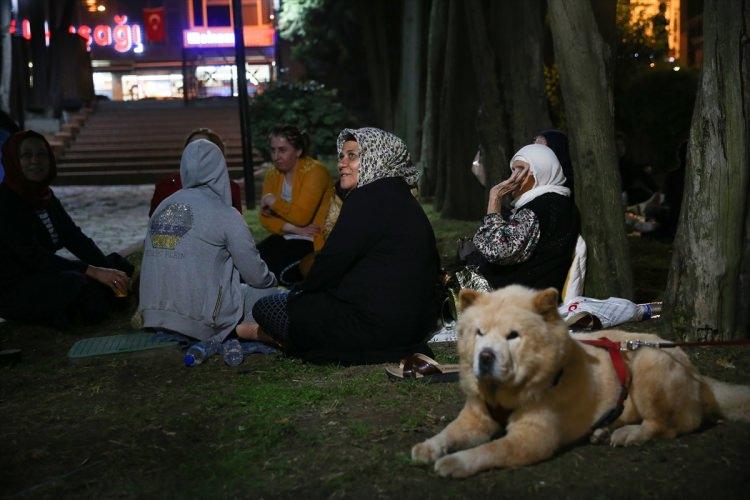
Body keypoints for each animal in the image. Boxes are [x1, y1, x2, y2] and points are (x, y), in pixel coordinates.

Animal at [412, 286, 750, 476]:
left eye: (513, 336)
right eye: (478, 333)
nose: (484, 357)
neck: (506, 392)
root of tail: (697, 372)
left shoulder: (533, 438)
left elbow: (489, 450)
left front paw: (455, 463)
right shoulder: (475, 418)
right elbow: (449, 432)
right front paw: (428, 447)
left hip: (648, 362)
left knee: (666, 425)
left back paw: (628, 434)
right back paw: (604, 430)